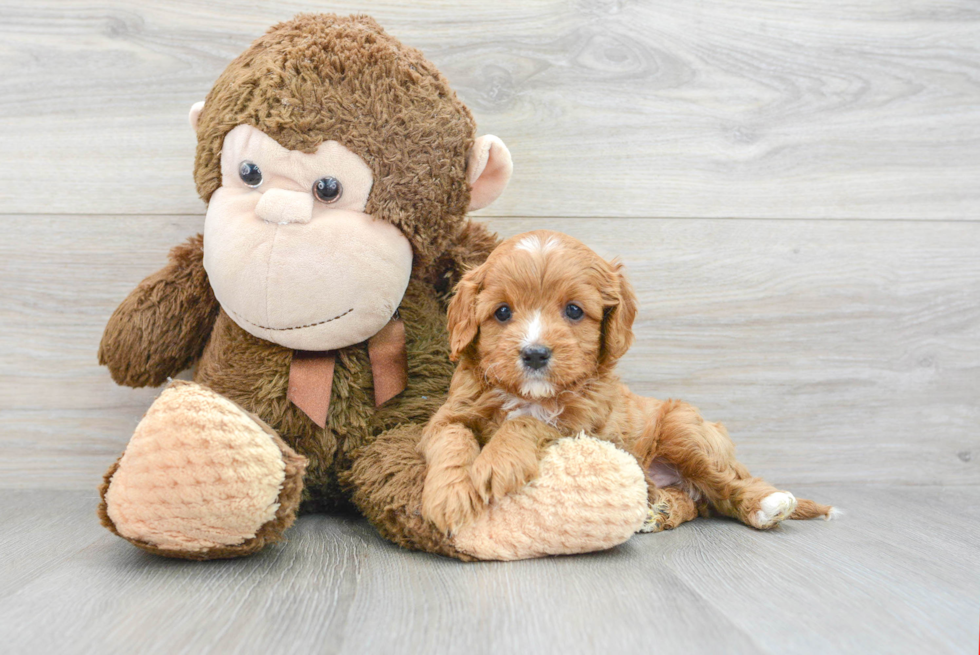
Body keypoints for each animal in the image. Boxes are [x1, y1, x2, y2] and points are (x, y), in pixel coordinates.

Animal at [420, 229, 836, 532]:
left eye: (574, 311)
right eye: (502, 312)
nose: (535, 354)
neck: (528, 393)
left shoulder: (579, 424)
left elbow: (526, 422)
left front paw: (494, 464)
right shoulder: (449, 415)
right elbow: (452, 440)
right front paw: (449, 495)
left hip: (685, 431)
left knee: (725, 485)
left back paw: (766, 505)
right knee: (697, 502)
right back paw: (661, 509)